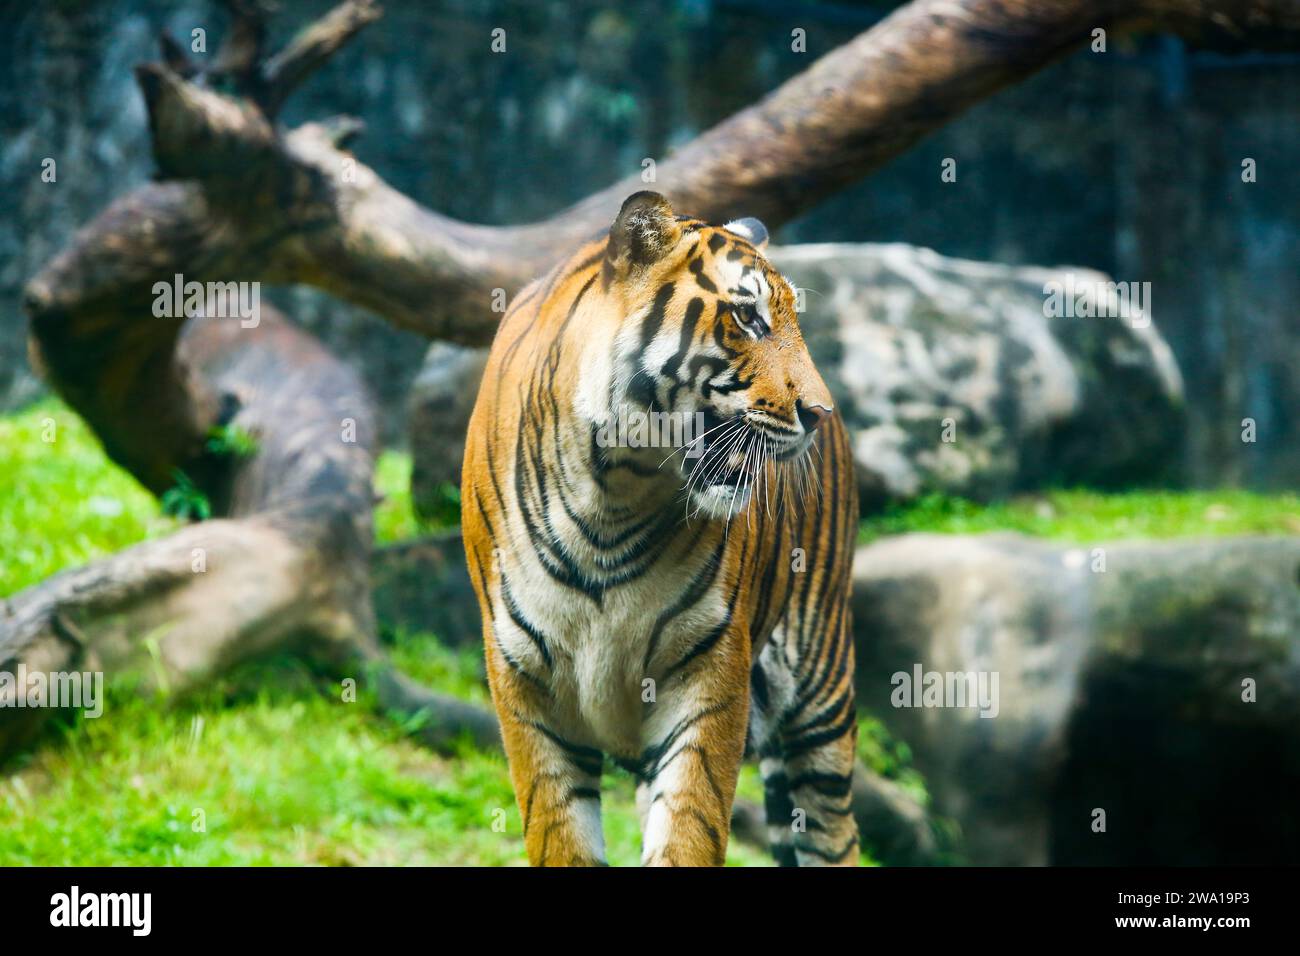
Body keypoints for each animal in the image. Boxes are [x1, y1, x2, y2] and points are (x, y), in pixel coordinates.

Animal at [462, 188, 857, 868]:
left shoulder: (708, 671)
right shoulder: (525, 683)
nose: (819, 413)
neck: (610, 495)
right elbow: (560, 834)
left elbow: (688, 830)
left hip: (821, 689)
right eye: (748, 318)